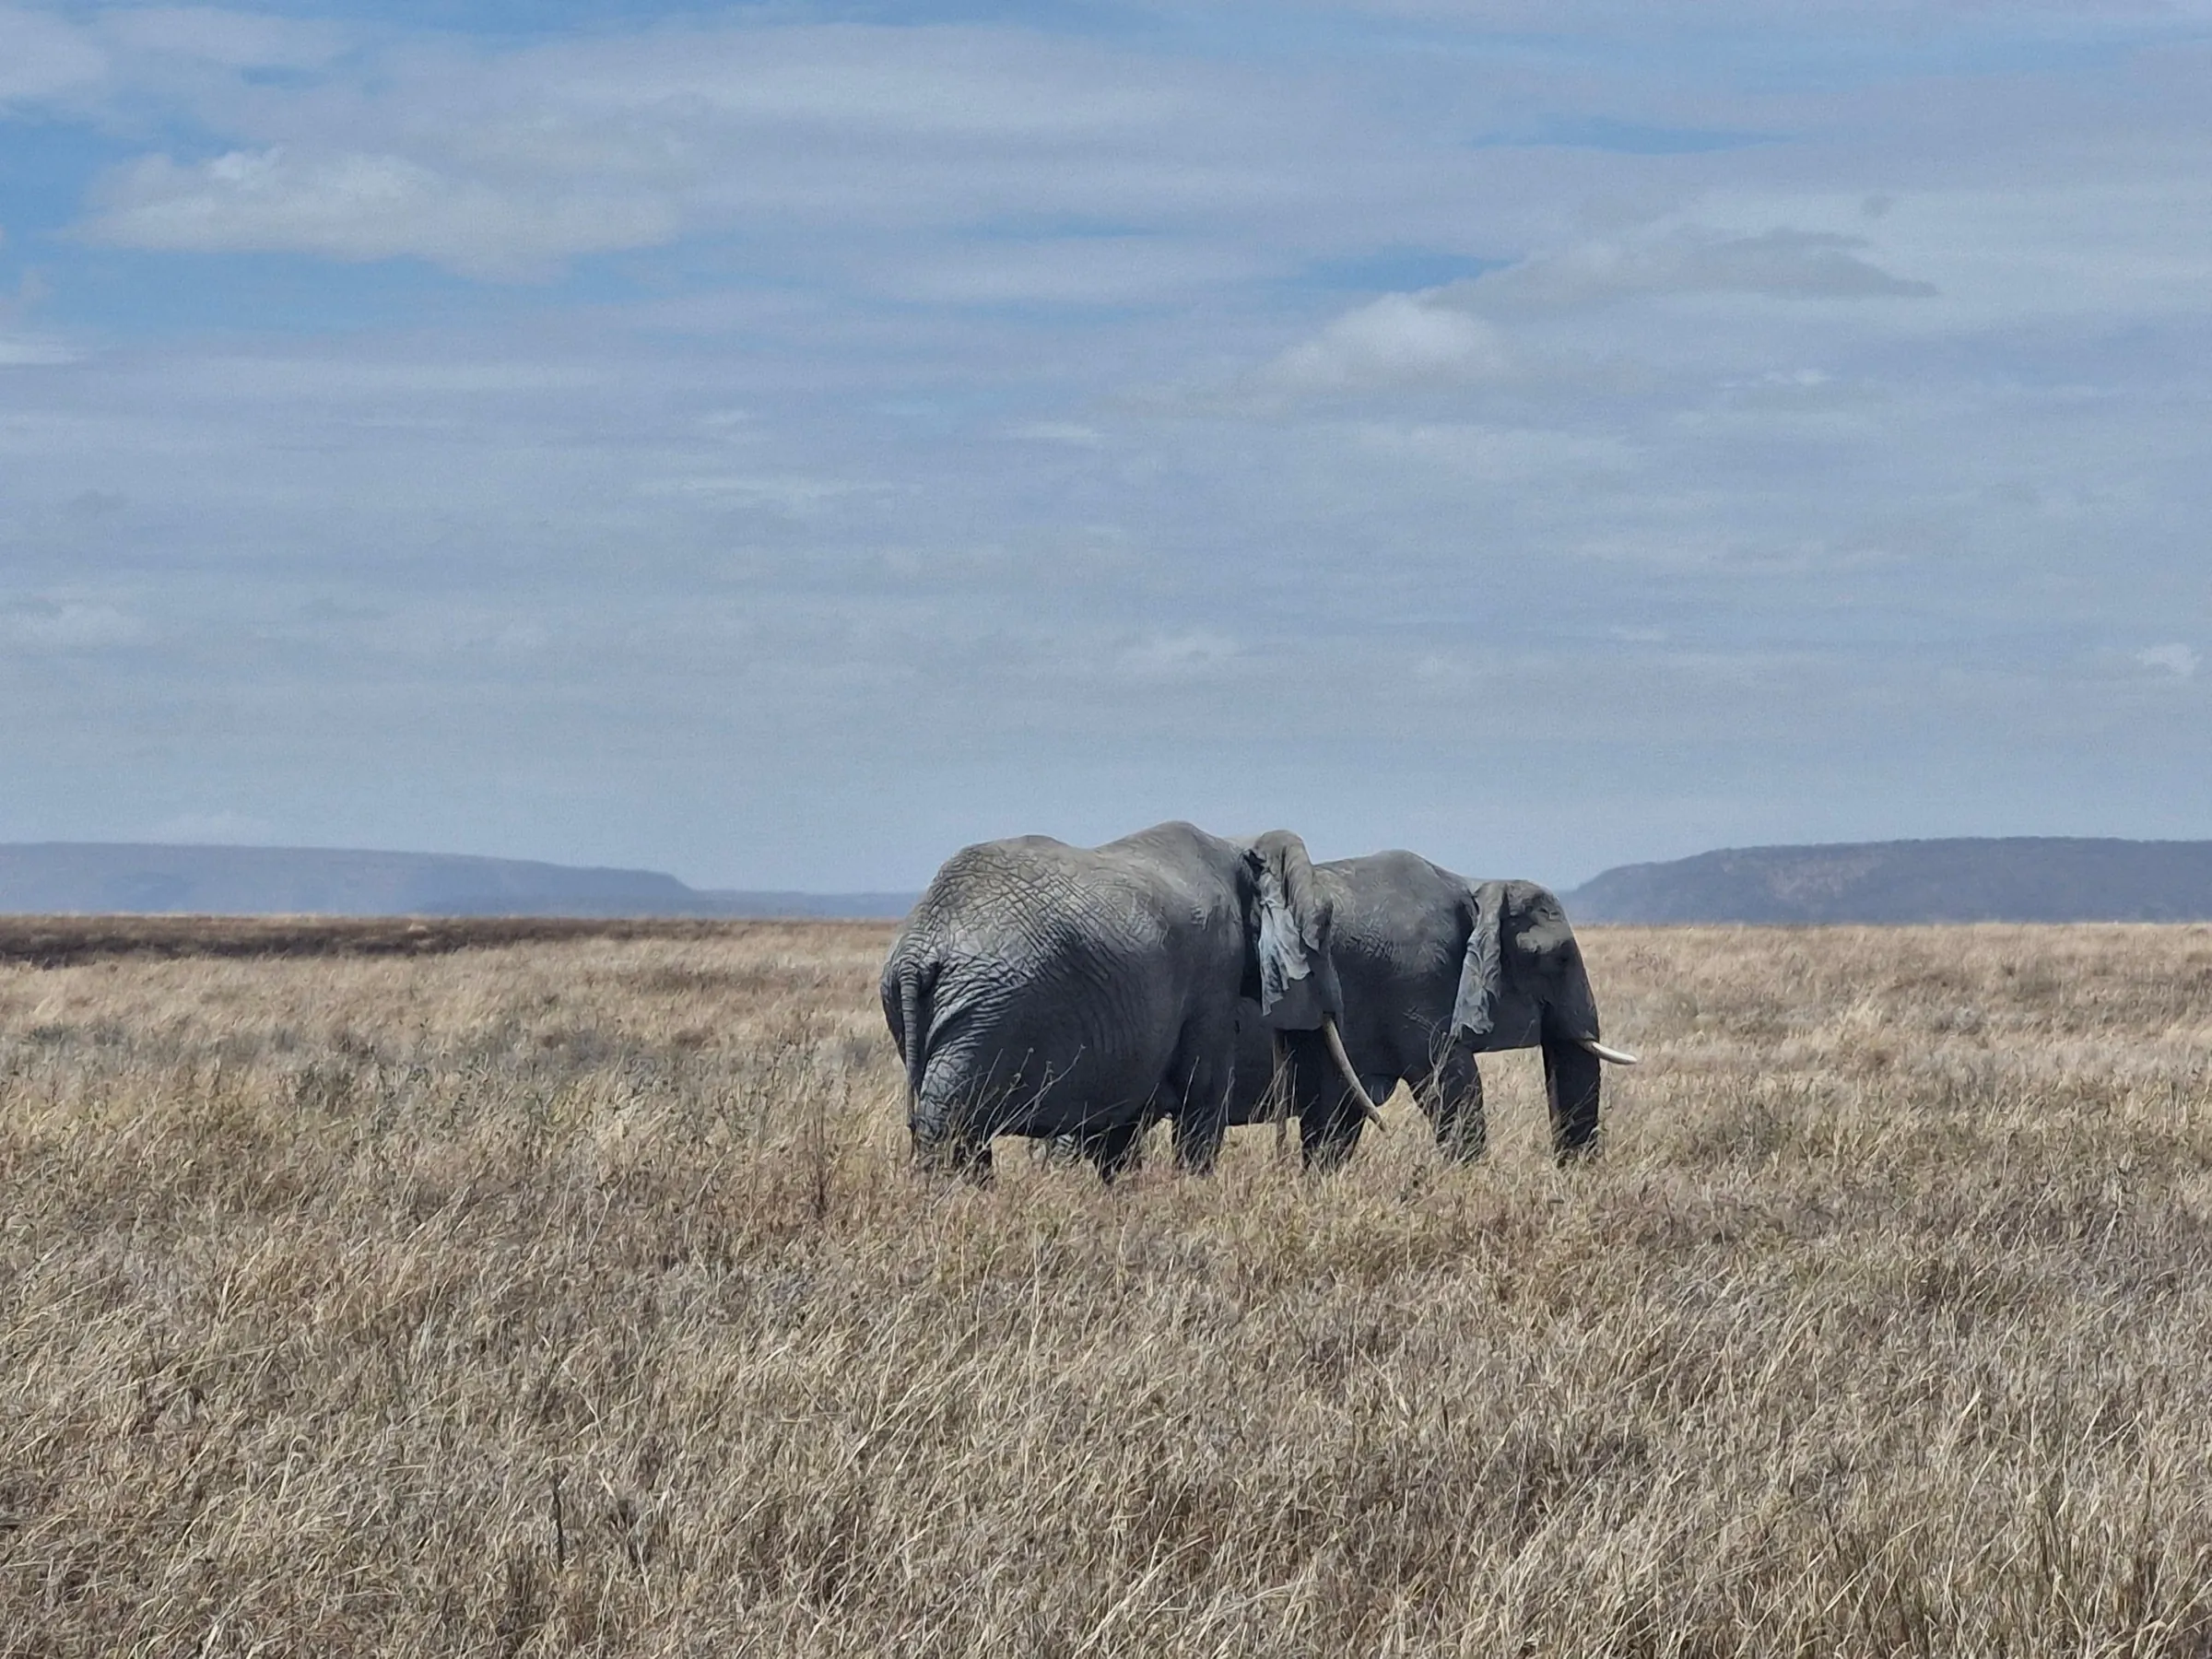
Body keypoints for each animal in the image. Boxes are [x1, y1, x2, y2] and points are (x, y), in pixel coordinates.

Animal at [880, 821, 1381, 1182]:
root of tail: (917, 949)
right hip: (987, 1012)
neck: (1237, 846)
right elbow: (1205, 1091)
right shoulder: (1213, 971)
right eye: (1325, 924)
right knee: (952, 1125)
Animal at [1211, 853, 1637, 1170]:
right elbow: (1454, 1082)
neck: (1473, 887)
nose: (1568, 1174)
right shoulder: (1416, 984)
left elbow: (1341, 1115)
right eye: (1560, 959)